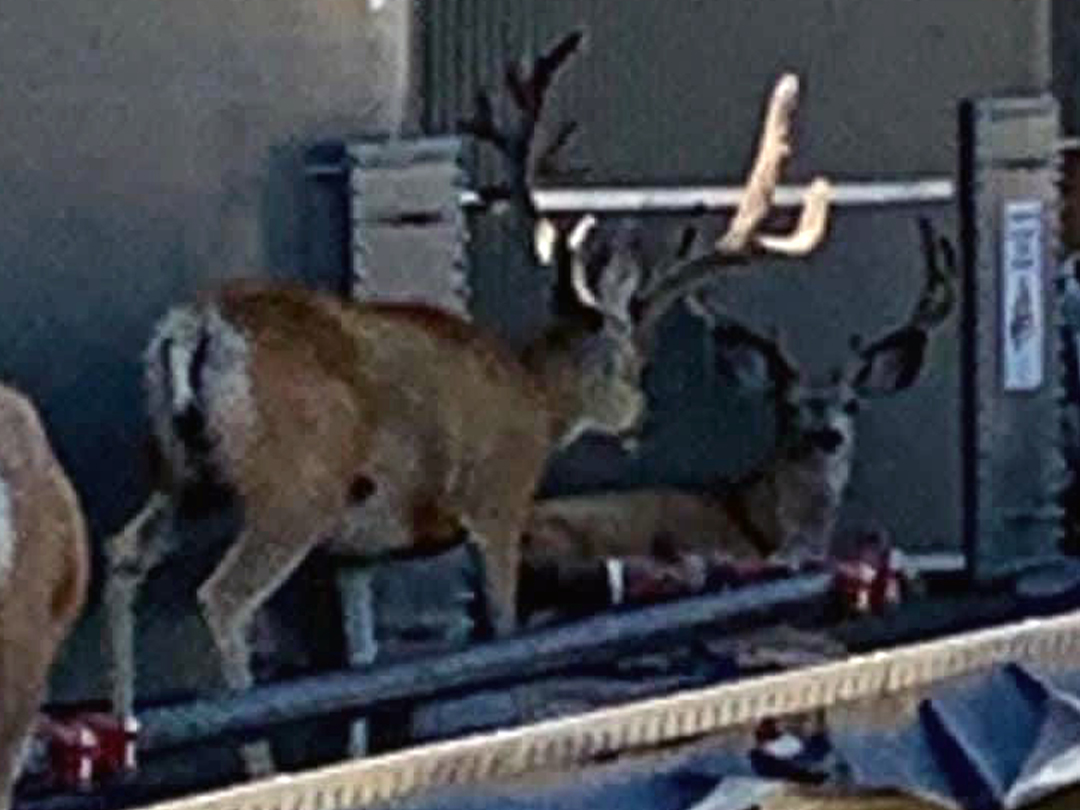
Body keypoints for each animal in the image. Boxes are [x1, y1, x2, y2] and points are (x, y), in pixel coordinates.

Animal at [102, 30, 832, 777]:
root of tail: (197, 324)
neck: (537, 396)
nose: (640, 416)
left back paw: (124, 733)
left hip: (186, 472)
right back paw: (255, 762)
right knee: (222, 598)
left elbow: (363, 665)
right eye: (634, 363)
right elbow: (503, 631)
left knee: (123, 554)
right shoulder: (499, 500)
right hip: (295, 484)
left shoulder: (358, 550)